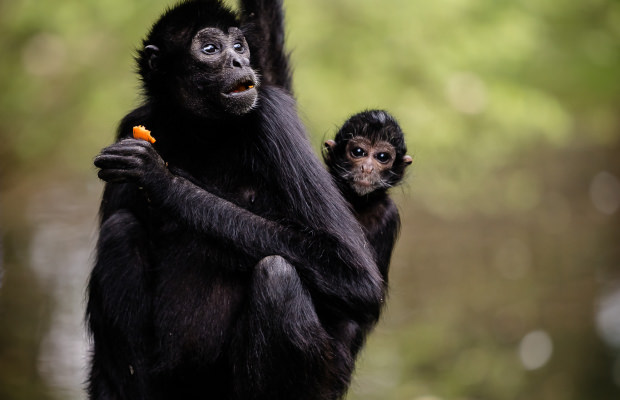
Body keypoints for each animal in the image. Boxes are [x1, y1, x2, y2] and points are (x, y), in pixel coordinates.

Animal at [87, 0, 382, 400]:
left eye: (239, 47)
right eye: (211, 49)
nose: (241, 62)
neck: (203, 131)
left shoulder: (272, 113)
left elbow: (357, 279)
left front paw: (162, 179)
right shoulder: (132, 125)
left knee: (276, 275)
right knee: (120, 229)